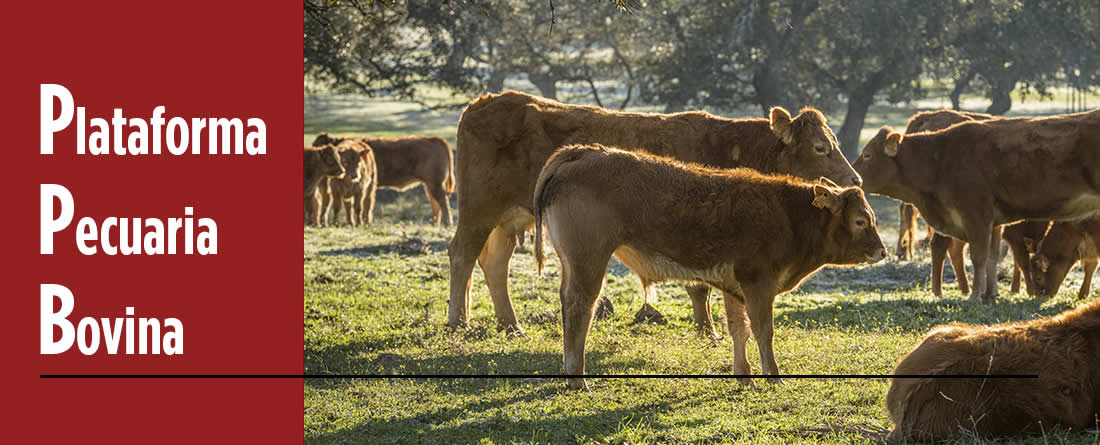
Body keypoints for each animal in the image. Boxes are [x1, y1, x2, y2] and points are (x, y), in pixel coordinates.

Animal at [314, 130, 455, 224]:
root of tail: (436, 139)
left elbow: (365, 204)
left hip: (435, 183)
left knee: (443, 201)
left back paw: (447, 223)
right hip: (429, 185)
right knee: (435, 203)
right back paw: (435, 224)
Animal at [444, 89, 858, 336]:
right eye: (821, 147)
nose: (855, 177)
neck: (728, 146)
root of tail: (485, 102)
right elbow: (698, 286)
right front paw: (708, 331)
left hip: (506, 219)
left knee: (494, 262)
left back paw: (510, 324)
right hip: (478, 210)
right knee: (462, 255)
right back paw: (458, 321)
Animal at [532, 143, 884, 386]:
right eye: (860, 221)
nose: (881, 251)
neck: (787, 213)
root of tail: (581, 152)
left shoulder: (734, 286)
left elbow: (739, 330)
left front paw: (744, 375)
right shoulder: (759, 283)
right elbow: (763, 330)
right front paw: (773, 375)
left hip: (572, 263)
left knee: (567, 302)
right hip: (589, 262)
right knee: (581, 307)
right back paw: (577, 378)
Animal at [853, 110, 1100, 303]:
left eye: (867, 154)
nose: (854, 178)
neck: (940, 158)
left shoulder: (976, 216)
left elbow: (979, 256)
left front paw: (976, 295)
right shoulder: (994, 222)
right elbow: (991, 256)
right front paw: (990, 293)